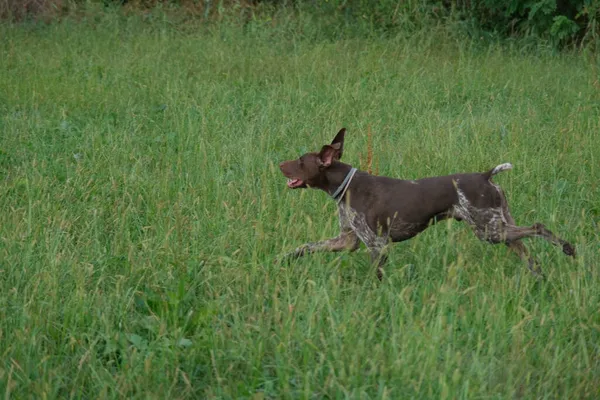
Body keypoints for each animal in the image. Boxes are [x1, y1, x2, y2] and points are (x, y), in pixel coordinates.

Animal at [278, 128, 576, 278]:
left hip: (489, 231)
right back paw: (539, 277)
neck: (348, 185)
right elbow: (307, 246)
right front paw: (285, 258)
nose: (280, 164)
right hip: (499, 228)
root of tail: (486, 175)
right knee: (529, 254)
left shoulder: (377, 245)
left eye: (300, 161)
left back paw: (567, 248)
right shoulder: (347, 240)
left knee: (538, 227)